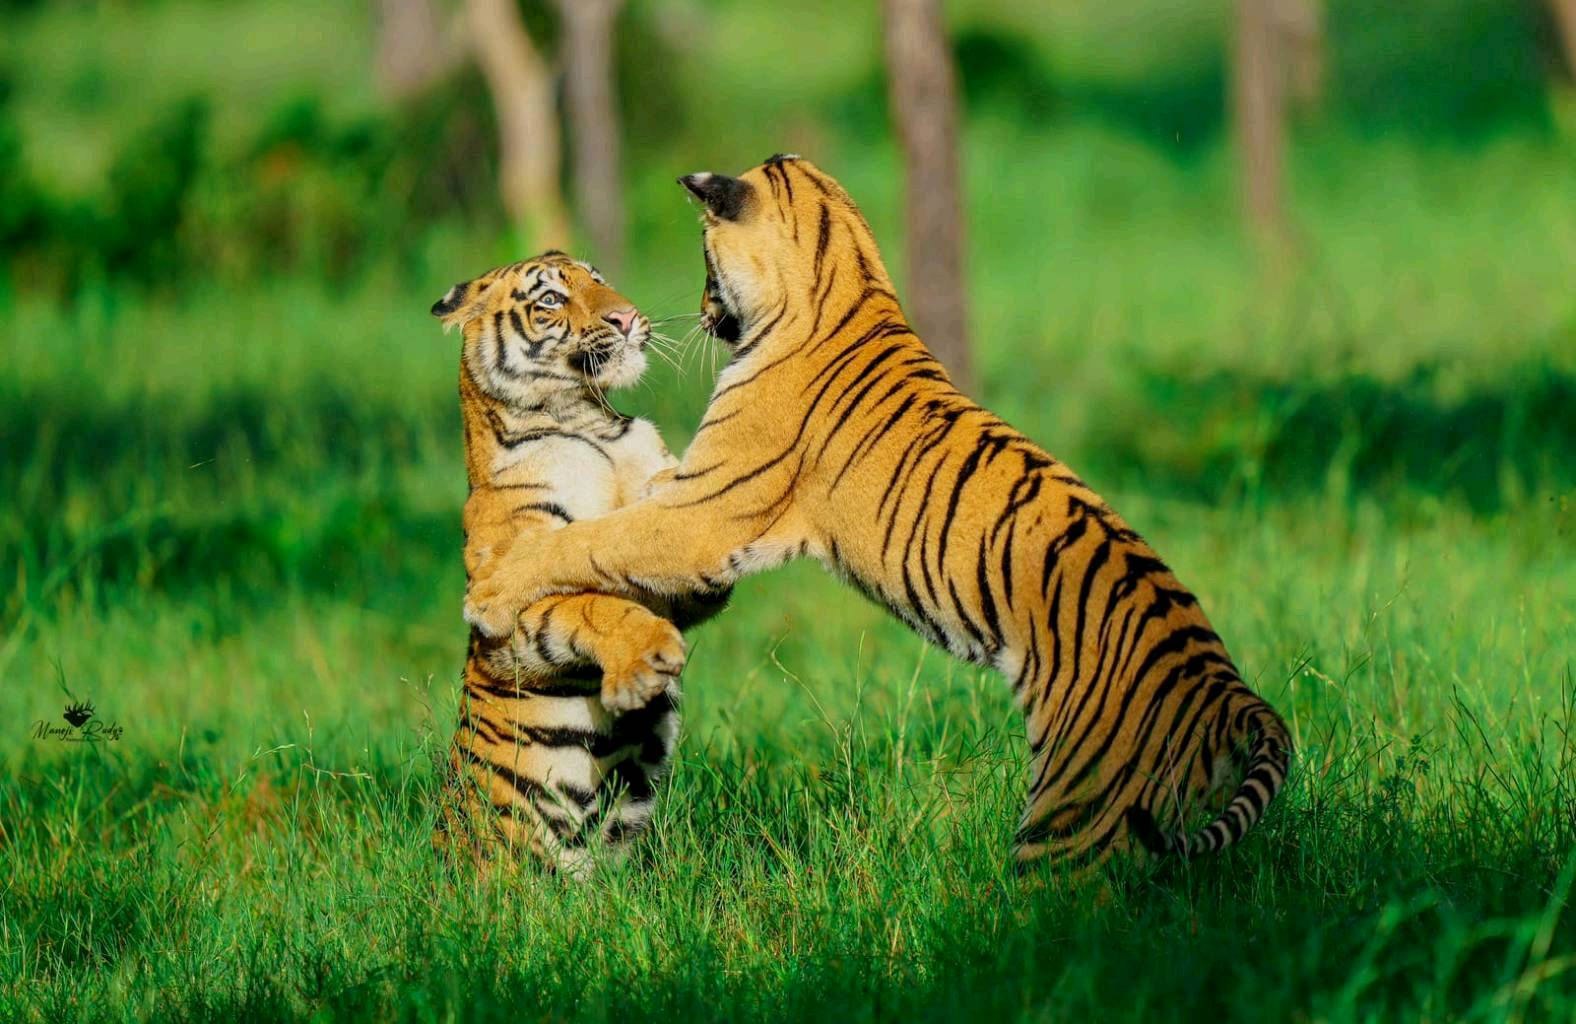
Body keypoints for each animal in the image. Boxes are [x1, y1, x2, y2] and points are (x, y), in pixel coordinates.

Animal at [429, 250, 725, 878]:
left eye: (598, 280)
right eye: (550, 300)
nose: (626, 317)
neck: (588, 424)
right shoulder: (507, 617)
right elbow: (589, 602)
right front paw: (642, 666)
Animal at [462, 158, 1292, 872]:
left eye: (704, 264)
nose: (697, 314)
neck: (847, 273)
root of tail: (1234, 693)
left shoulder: (704, 512)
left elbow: (594, 540)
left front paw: (493, 588)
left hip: (1074, 820)